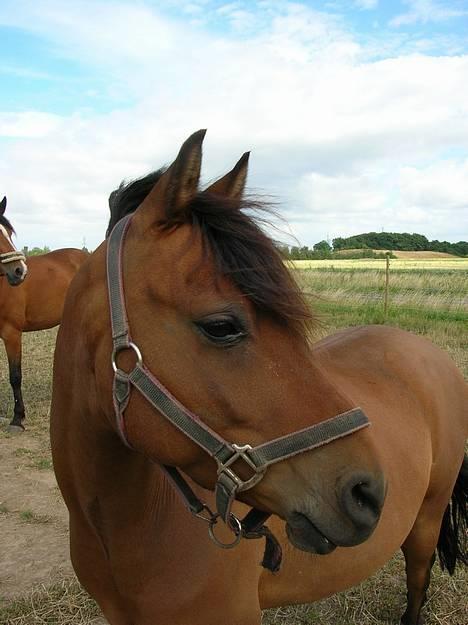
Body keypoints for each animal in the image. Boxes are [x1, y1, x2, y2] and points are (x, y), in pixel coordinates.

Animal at [49, 132, 466, 624]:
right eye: (221, 327)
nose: (367, 492)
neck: (124, 529)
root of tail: (429, 352)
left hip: (425, 523)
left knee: (417, 583)